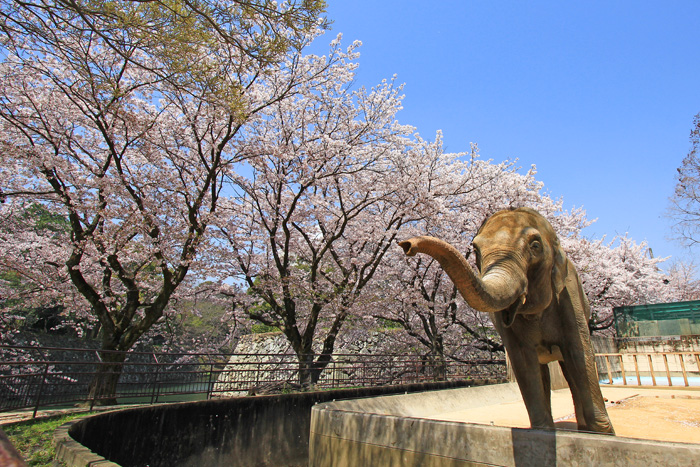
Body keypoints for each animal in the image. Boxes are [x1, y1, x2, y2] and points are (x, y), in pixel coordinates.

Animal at [400, 208, 612, 436]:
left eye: (535, 246)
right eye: (475, 250)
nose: (407, 245)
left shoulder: (569, 297)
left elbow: (579, 354)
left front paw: (602, 434)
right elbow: (524, 362)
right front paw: (541, 432)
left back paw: (583, 430)